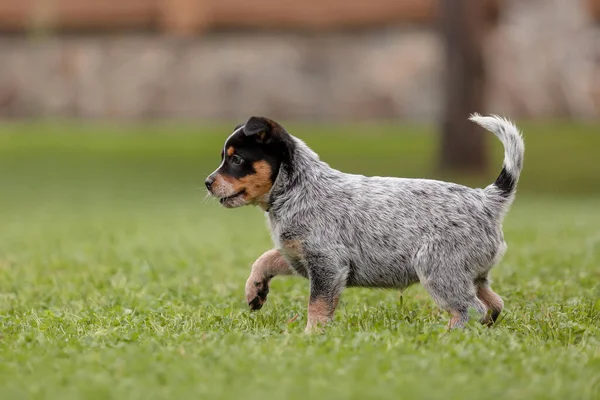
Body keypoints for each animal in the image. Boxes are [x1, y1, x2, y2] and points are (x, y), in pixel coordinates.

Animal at [206, 113, 524, 332]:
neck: (297, 190)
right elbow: (264, 259)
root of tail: (487, 199)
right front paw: (255, 290)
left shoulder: (327, 264)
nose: (208, 182)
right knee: (494, 304)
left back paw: (449, 336)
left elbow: (317, 306)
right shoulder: (298, 257)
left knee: (471, 308)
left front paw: (310, 336)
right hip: (470, 275)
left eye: (236, 160)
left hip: (437, 269)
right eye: (223, 157)